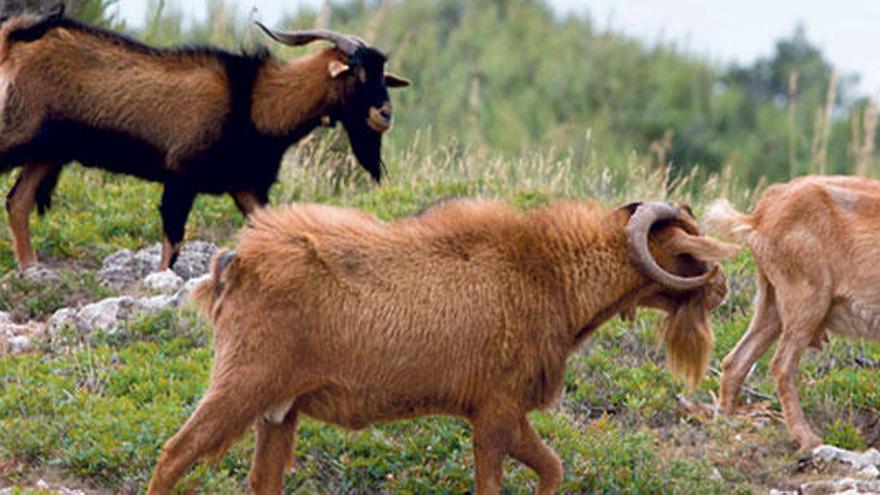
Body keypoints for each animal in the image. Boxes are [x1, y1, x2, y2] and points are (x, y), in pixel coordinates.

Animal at [0, 12, 410, 272]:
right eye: (357, 72)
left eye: (382, 74)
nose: (385, 114)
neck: (254, 100)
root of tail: (13, 44)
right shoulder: (181, 176)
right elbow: (172, 241)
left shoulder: (246, 186)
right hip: (17, 132)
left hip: (47, 152)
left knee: (18, 201)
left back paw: (31, 268)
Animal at [150, 200, 736, 494]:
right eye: (688, 249)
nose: (724, 288)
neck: (551, 275)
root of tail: (235, 265)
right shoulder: (496, 413)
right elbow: (496, 482)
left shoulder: (502, 414)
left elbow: (552, 469)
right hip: (244, 383)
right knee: (175, 454)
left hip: (278, 411)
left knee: (261, 478)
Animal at [708, 176, 880, 452]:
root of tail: (759, 217)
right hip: (805, 298)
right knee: (782, 364)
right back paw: (807, 438)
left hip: (771, 303)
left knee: (736, 360)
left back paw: (724, 421)